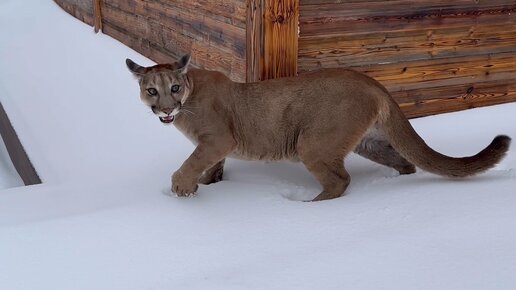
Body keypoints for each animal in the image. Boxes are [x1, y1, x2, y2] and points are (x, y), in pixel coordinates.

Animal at [126, 56, 512, 202]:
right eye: (151, 90)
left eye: (174, 88)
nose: (166, 108)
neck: (190, 96)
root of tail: (372, 82)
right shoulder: (217, 147)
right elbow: (208, 167)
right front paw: (204, 186)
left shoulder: (219, 139)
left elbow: (191, 162)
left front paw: (181, 189)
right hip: (368, 143)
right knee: (407, 162)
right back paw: (394, 185)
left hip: (312, 144)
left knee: (340, 180)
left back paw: (311, 207)